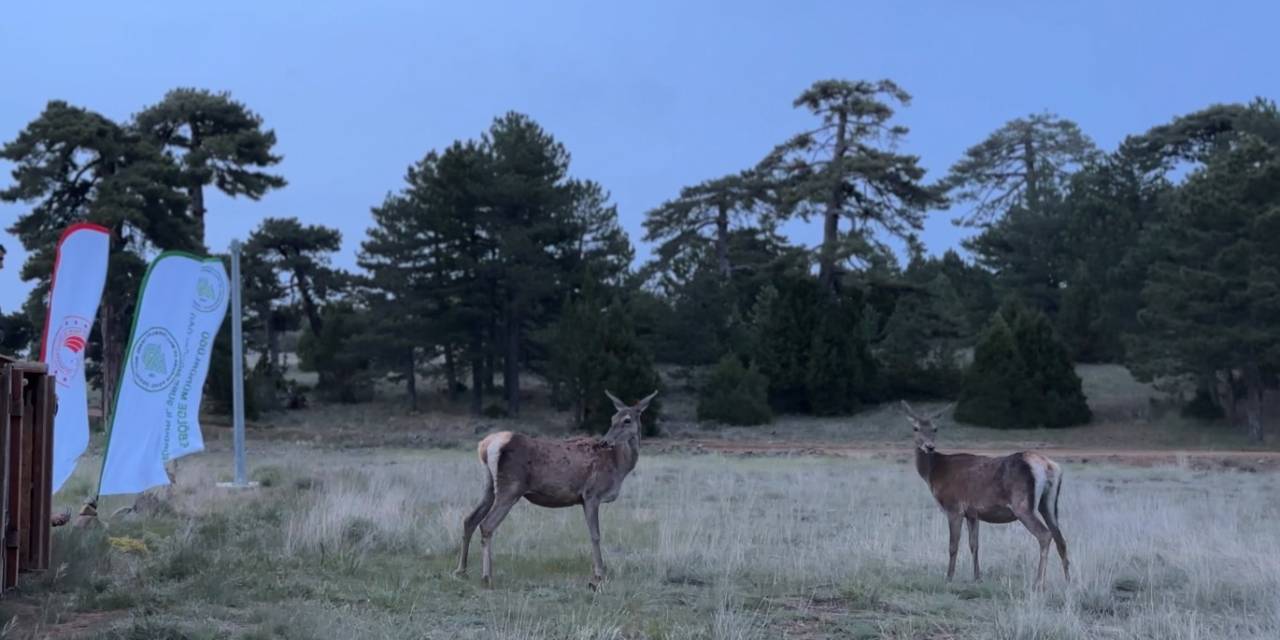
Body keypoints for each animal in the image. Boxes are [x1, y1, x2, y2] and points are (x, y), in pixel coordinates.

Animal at [453, 386, 655, 586]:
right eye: (613, 419)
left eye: (627, 420)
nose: (605, 442)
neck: (618, 466)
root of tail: (486, 445)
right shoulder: (591, 494)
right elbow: (595, 535)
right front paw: (599, 574)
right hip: (510, 487)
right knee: (487, 525)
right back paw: (487, 576)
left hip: (489, 485)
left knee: (469, 519)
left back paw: (461, 570)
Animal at [901, 401, 1070, 586]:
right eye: (916, 428)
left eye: (935, 428)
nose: (929, 447)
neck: (934, 473)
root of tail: (1048, 466)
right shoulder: (972, 513)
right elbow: (974, 545)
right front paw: (977, 577)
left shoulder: (954, 507)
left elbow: (953, 545)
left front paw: (949, 578)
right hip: (1048, 503)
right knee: (1061, 539)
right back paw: (1069, 582)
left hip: (1022, 504)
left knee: (1045, 535)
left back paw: (1038, 583)